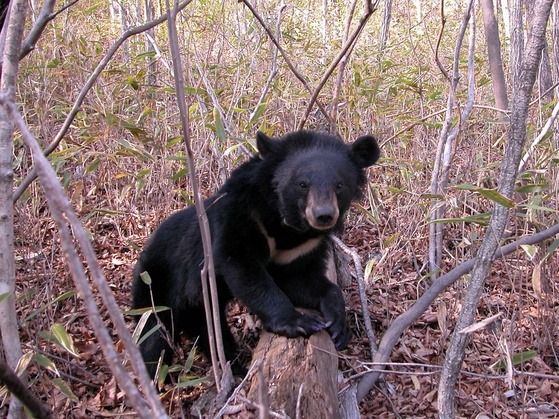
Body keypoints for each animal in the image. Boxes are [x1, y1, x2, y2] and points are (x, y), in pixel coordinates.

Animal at [132, 130, 380, 376]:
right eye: (302, 184)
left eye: (339, 185)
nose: (323, 215)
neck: (288, 227)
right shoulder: (242, 218)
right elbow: (245, 269)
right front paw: (300, 322)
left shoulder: (299, 250)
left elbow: (301, 280)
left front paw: (339, 324)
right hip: (156, 284)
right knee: (153, 333)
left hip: (197, 306)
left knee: (209, 332)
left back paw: (233, 368)